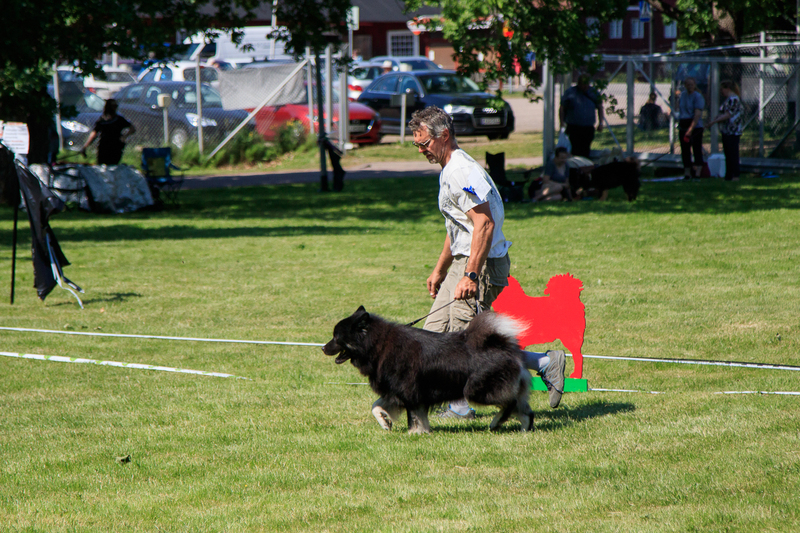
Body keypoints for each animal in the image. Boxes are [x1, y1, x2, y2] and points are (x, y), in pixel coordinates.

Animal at [323, 306, 534, 434]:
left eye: (336, 337)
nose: (323, 348)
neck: (377, 345)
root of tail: (504, 345)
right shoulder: (396, 392)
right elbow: (376, 406)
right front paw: (385, 421)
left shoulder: (409, 392)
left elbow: (414, 416)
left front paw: (414, 433)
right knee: (525, 410)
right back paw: (524, 429)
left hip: (477, 391)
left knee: (510, 404)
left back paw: (497, 422)